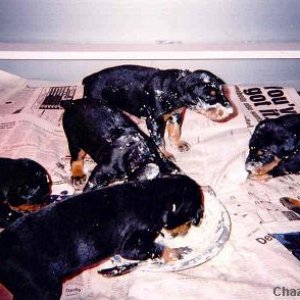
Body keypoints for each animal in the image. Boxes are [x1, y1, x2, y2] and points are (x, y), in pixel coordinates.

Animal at [0, 176, 204, 300]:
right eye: (192, 212)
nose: (196, 223)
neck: (152, 195)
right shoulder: (132, 242)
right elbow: (145, 249)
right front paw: (174, 252)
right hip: (42, 286)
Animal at [82, 64, 234, 158]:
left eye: (224, 91)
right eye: (210, 95)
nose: (231, 111)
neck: (174, 89)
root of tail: (88, 79)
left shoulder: (176, 114)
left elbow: (175, 131)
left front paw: (178, 144)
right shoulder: (155, 120)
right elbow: (158, 140)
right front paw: (165, 155)